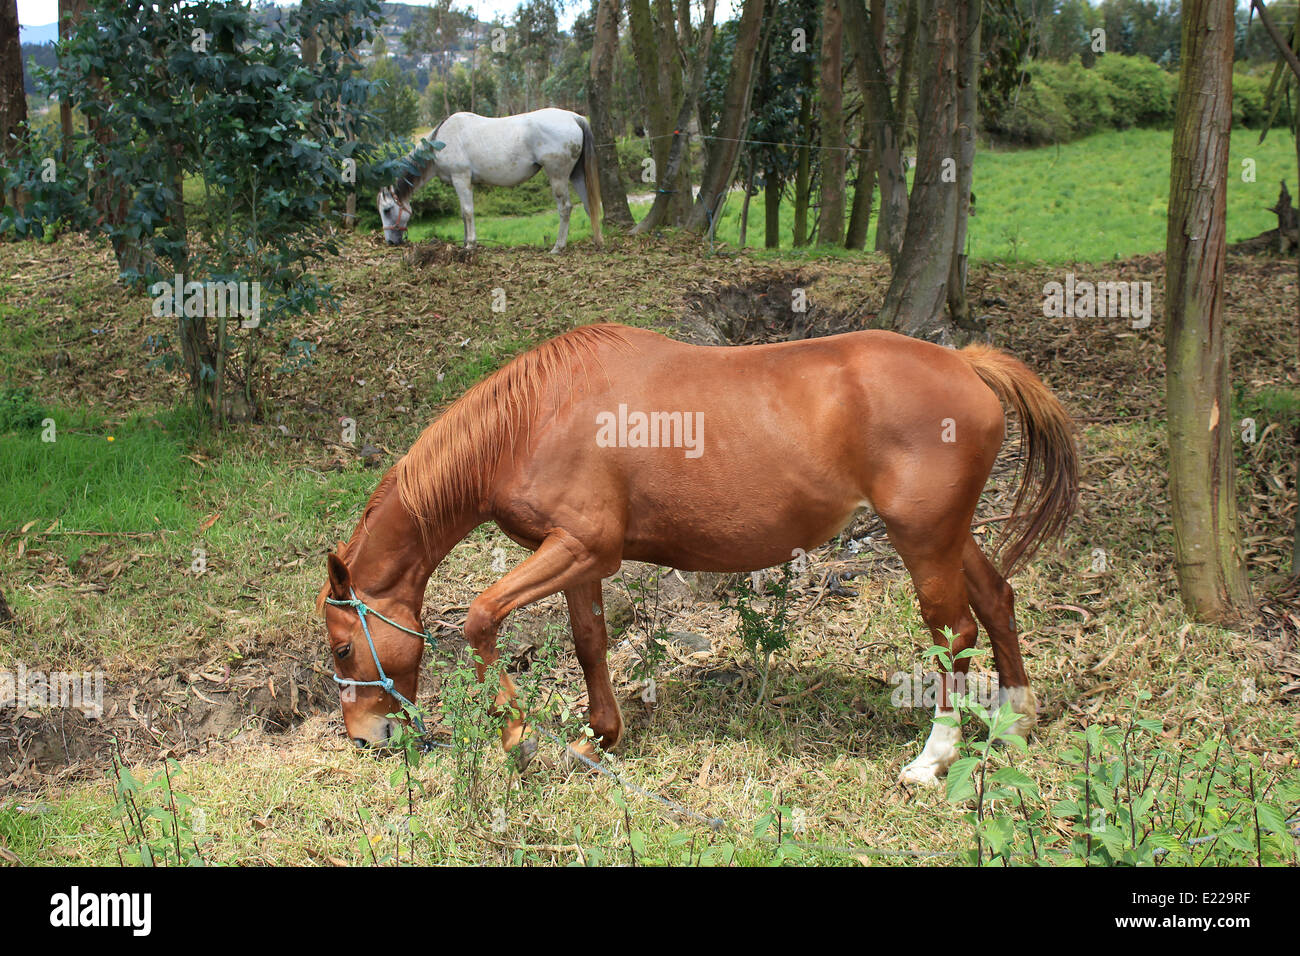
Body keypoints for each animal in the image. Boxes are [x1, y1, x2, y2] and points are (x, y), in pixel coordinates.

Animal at [317, 321, 1076, 785]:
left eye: (344, 648)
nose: (364, 738)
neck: (535, 417)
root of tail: (966, 364)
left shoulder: (578, 548)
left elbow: (480, 618)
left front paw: (518, 736)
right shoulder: (579, 558)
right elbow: (589, 641)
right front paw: (598, 737)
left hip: (922, 540)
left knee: (955, 633)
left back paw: (933, 758)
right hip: (947, 535)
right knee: (997, 599)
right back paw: (1017, 717)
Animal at [374, 107, 600, 254]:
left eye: (387, 210)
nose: (390, 242)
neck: (441, 141)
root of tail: (574, 117)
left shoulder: (461, 178)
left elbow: (467, 212)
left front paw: (470, 245)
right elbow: (463, 214)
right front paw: (465, 242)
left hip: (558, 176)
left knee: (565, 207)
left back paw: (558, 247)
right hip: (576, 175)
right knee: (589, 205)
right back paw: (598, 241)